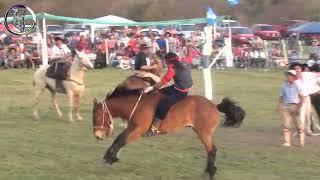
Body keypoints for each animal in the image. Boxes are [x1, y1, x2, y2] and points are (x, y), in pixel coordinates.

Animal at [91, 79, 246, 180]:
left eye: (98, 116)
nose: (97, 135)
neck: (138, 104)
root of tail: (214, 105)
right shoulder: (132, 127)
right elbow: (120, 140)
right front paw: (110, 157)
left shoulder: (138, 130)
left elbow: (120, 140)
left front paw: (109, 158)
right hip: (202, 132)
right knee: (211, 150)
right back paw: (208, 171)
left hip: (204, 133)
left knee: (212, 150)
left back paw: (211, 172)